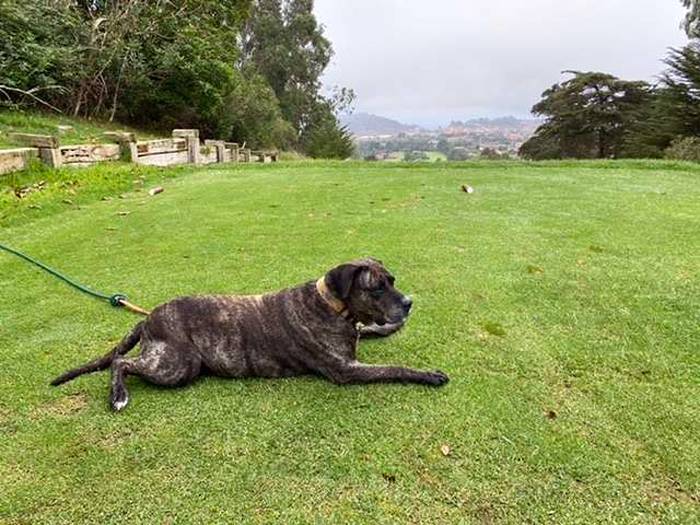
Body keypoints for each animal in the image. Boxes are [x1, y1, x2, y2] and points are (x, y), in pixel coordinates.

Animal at [50, 258, 448, 410]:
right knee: (120, 362)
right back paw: (118, 395)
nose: (408, 303)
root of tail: (149, 319)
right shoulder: (346, 370)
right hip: (178, 364)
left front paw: (392, 325)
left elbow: (374, 330)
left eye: (392, 281)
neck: (333, 304)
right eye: (377, 287)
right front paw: (429, 375)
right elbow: (394, 368)